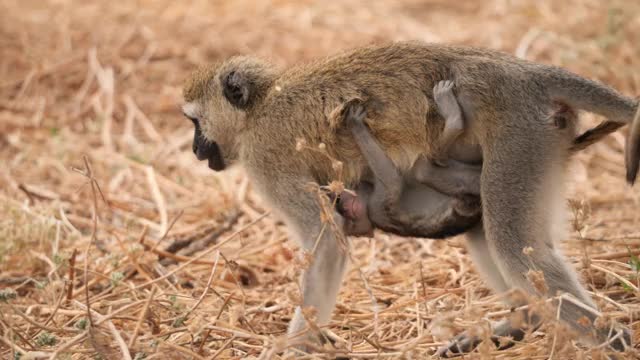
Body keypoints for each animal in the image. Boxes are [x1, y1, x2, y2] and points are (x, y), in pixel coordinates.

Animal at [336, 81, 480, 239]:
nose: (342, 194)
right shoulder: (375, 208)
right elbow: (392, 180)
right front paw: (355, 125)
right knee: (425, 169)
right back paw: (454, 122)